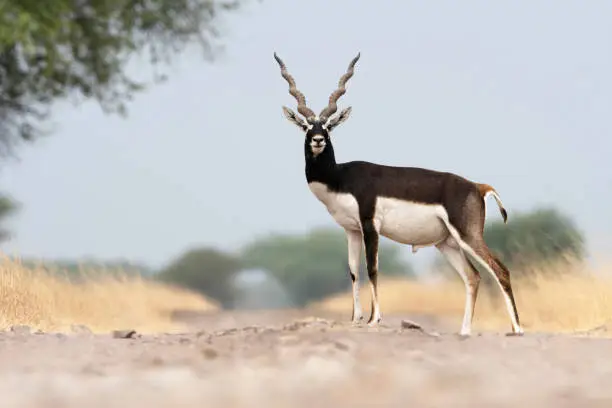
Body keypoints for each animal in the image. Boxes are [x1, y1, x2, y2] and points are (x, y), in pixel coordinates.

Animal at [274, 52, 524, 336]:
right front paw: (356, 318)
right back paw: (464, 331)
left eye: (328, 126)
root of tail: (477, 186)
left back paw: (517, 329)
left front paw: (374, 319)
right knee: (473, 277)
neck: (340, 177)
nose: (318, 139)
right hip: (447, 243)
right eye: (306, 126)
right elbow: (353, 271)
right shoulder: (351, 230)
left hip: (468, 235)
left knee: (500, 270)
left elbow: (372, 268)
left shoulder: (370, 224)